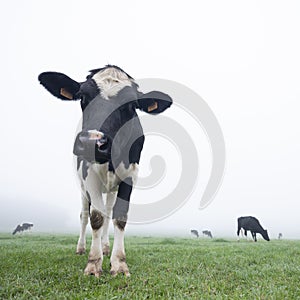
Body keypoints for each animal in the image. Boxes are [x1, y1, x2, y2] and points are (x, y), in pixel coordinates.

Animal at [38, 65, 172, 276]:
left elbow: (119, 216)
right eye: (82, 97)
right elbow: (96, 217)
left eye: (131, 105)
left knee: (109, 211)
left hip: (110, 189)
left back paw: (106, 246)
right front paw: (94, 262)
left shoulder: (130, 176)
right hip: (82, 189)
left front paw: (118, 262)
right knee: (84, 215)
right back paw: (81, 248)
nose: (92, 142)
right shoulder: (89, 176)